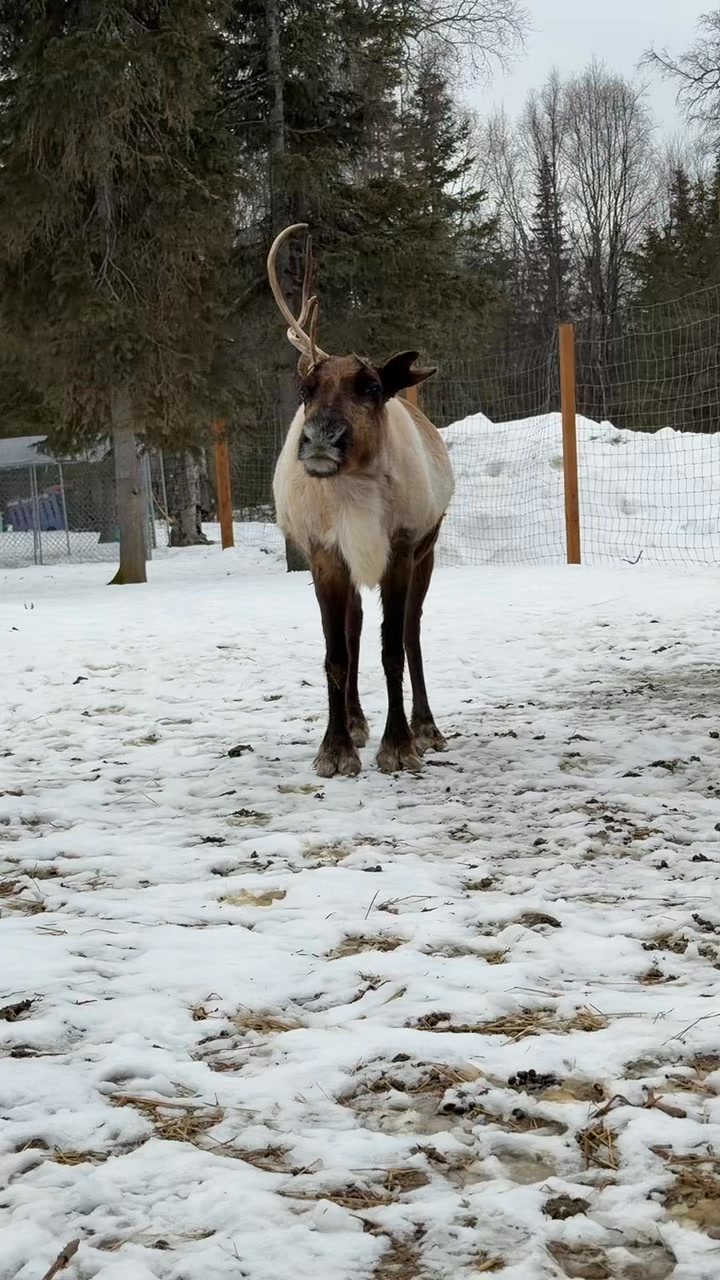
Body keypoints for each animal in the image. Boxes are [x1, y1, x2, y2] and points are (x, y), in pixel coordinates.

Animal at [268, 223, 455, 778]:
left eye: (372, 387)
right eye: (305, 388)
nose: (320, 438)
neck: (353, 498)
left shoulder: (401, 549)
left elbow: (393, 648)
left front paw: (400, 744)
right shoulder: (325, 554)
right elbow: (336, 653)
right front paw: (335, 748)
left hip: (428, 553)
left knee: (411, 632)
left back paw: (426, 727)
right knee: (352, 632)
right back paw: (353, 722)